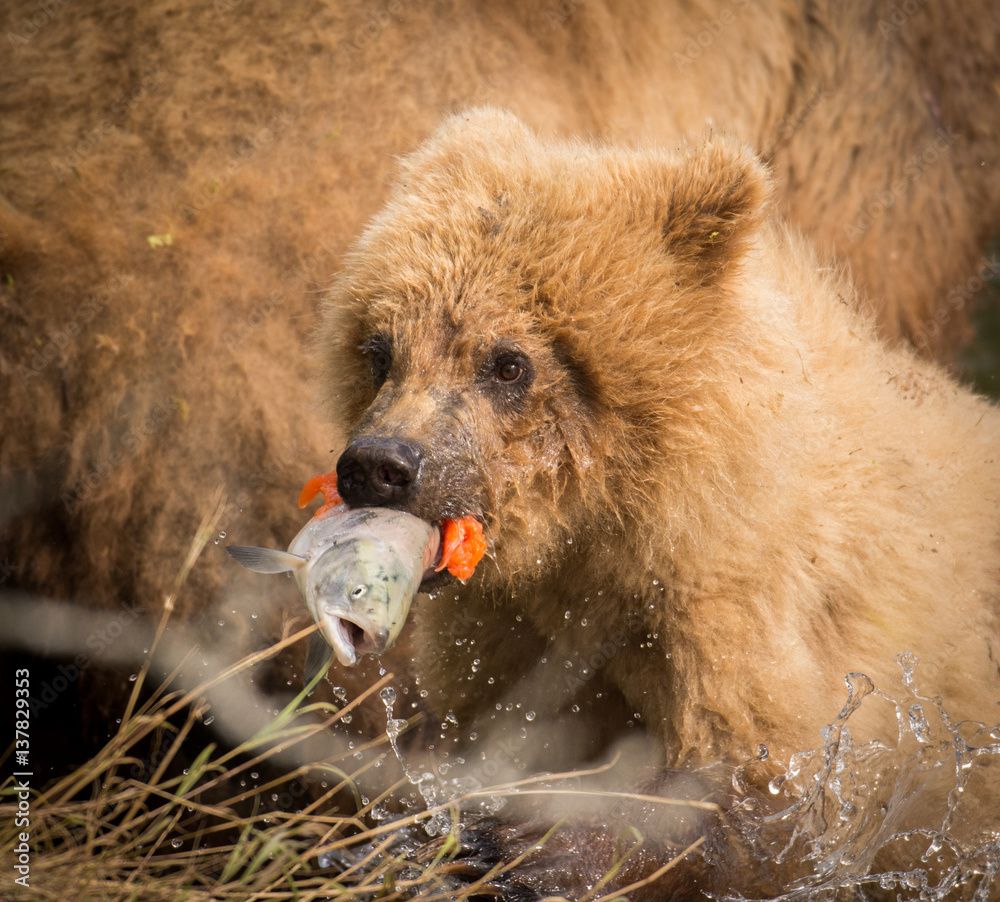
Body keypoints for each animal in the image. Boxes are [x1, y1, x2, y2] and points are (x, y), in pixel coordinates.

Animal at [318, 108, 1000, 898]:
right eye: (380, 351)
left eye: (508, 362)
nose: (379, 465)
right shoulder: (518, 630)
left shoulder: (752, 611)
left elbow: (760, 789)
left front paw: (520, 846)